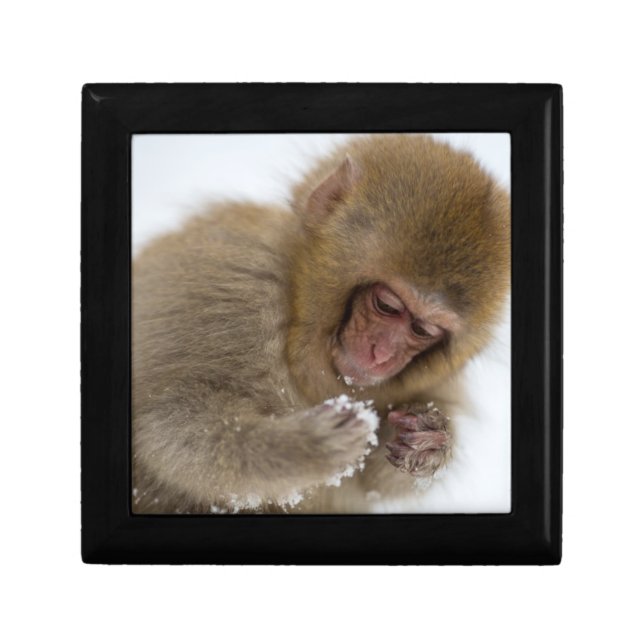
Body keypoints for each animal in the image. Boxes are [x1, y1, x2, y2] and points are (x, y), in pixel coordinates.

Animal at [131, 134, 510, 514]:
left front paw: (428, 441)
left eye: (422, 330)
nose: (382, 355)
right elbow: (168, 426)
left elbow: (371, 484)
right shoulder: (236, 290)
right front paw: (302, 447)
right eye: (387, 305)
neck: (296, 312)